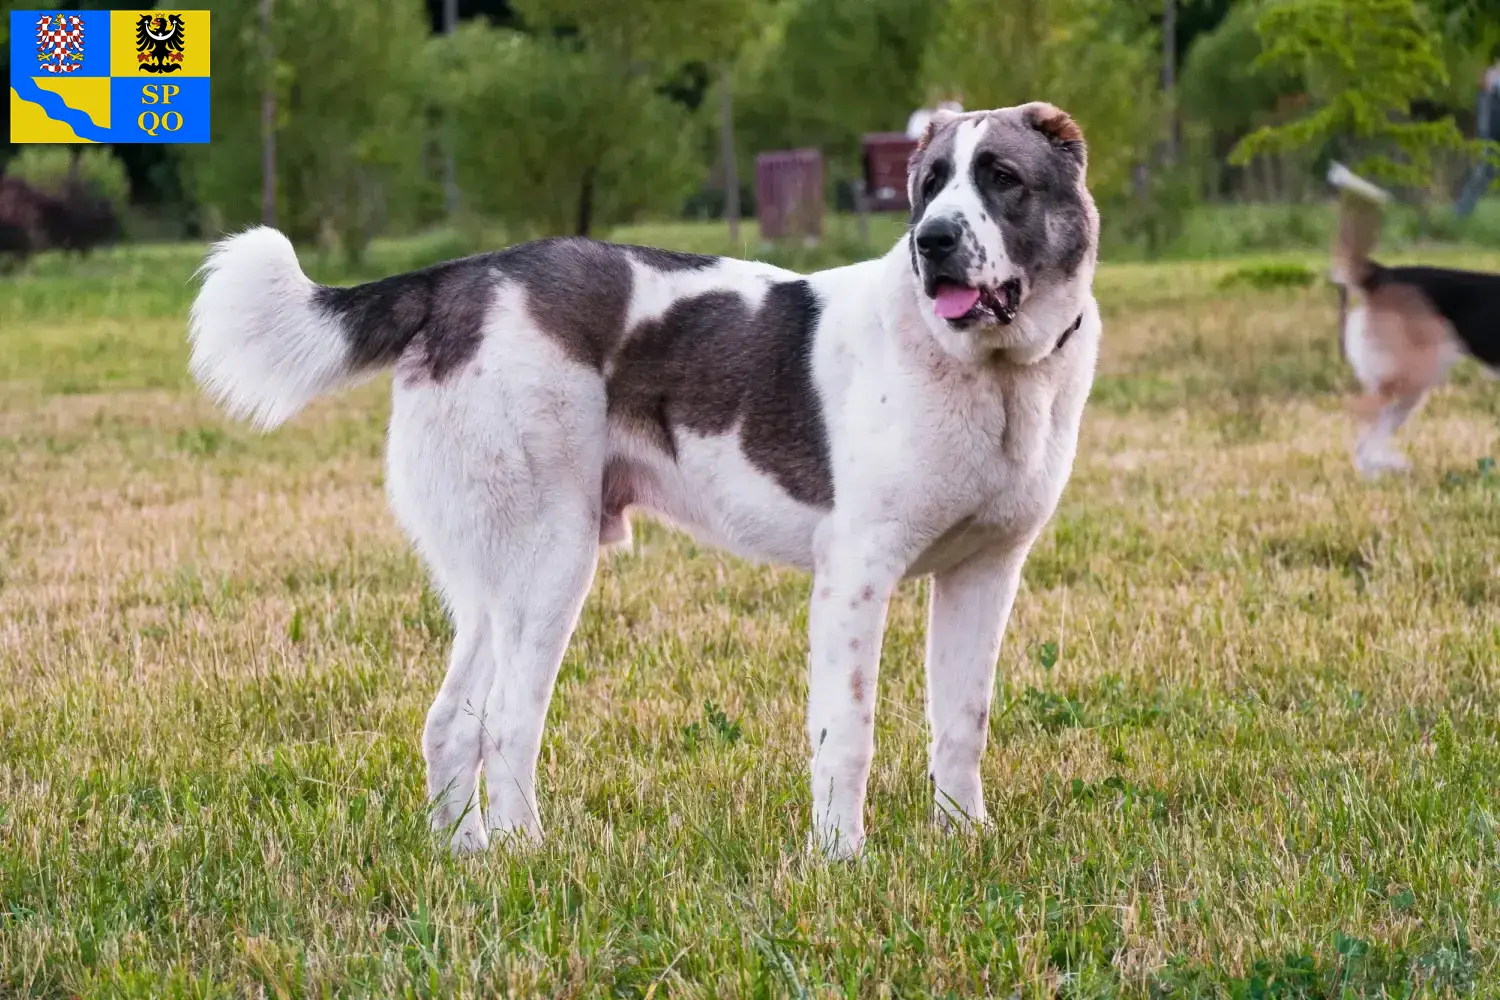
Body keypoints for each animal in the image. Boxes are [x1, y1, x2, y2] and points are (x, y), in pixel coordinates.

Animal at [187, 107, 1104, 863]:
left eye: (1002, 178)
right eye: (930, 186)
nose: (932, 241)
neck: (990, 373)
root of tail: (460, 278)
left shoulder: (984, 573)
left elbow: (963, 722)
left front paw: (964, 838)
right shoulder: (855, 577)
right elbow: (848, 731)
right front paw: (842, 862)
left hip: (496, 579)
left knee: (452, 722)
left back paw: (469, 856)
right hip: (551, 559)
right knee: (508, 723)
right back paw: (528, 858)